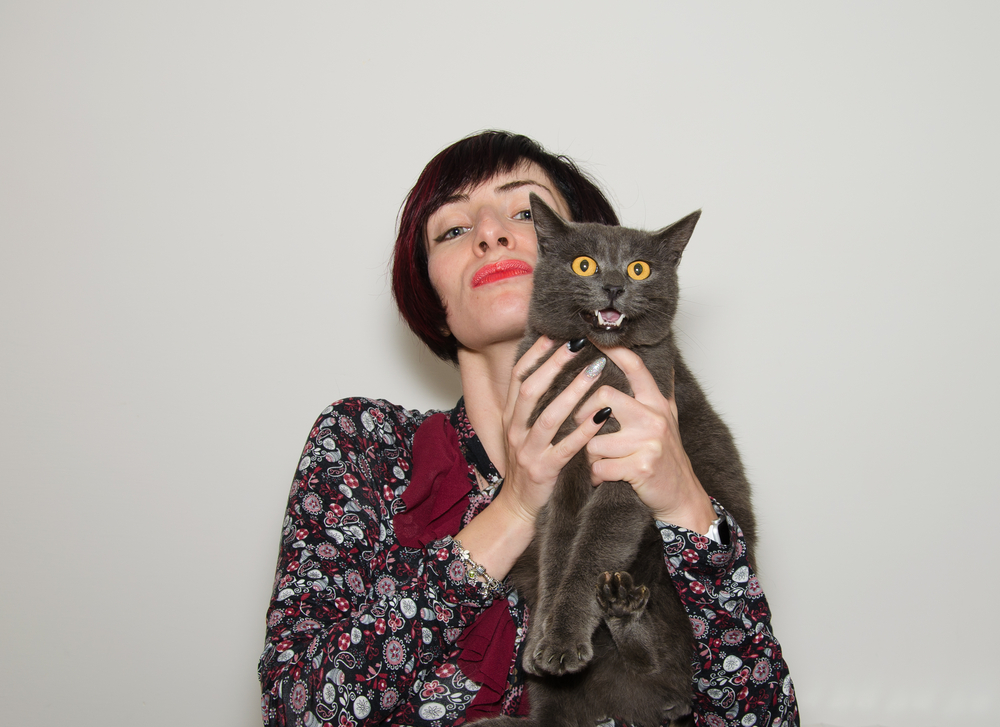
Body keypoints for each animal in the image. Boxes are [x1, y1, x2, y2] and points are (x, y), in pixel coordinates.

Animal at [472, 196, 752, 727]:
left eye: (640, 269)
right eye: (585, 264)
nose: (616, 286)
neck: (597, 364)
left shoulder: (628, 457)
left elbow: (592, 545)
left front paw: (562, 642)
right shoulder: (557, 459)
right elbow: (558, 543)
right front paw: (543, 644)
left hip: (663, 580)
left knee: (671, 666)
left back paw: (626, 616)